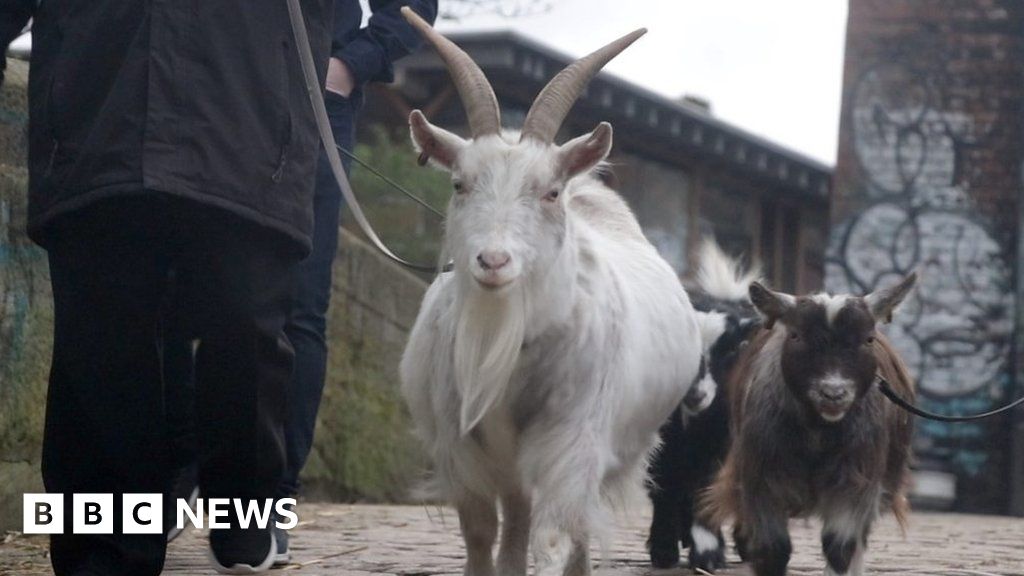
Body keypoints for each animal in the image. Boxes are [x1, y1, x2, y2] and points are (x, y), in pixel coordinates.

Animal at [397, 8, 704, 573]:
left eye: (550, 191)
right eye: (458, 184)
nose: (494, 261)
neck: (509, 342)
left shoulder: (573, 438)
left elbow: (558, 535)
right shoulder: (460, 443)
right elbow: (480, 533)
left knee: (570, 525)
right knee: (516, 517)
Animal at [647, 241, 761, 569]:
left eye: (732, 349)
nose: (695, 394)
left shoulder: (722, 446)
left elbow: (708, 489)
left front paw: (709, 554)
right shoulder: (663, 445)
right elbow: (665, 487)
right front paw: (663, 549)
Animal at [704, 272, 921, 573]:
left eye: (868, 339)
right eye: (795, 335)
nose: (833, 393)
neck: (818, 431)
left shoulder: (856, 480)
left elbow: (839, 546)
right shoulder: (762, 480)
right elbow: (773, 550)